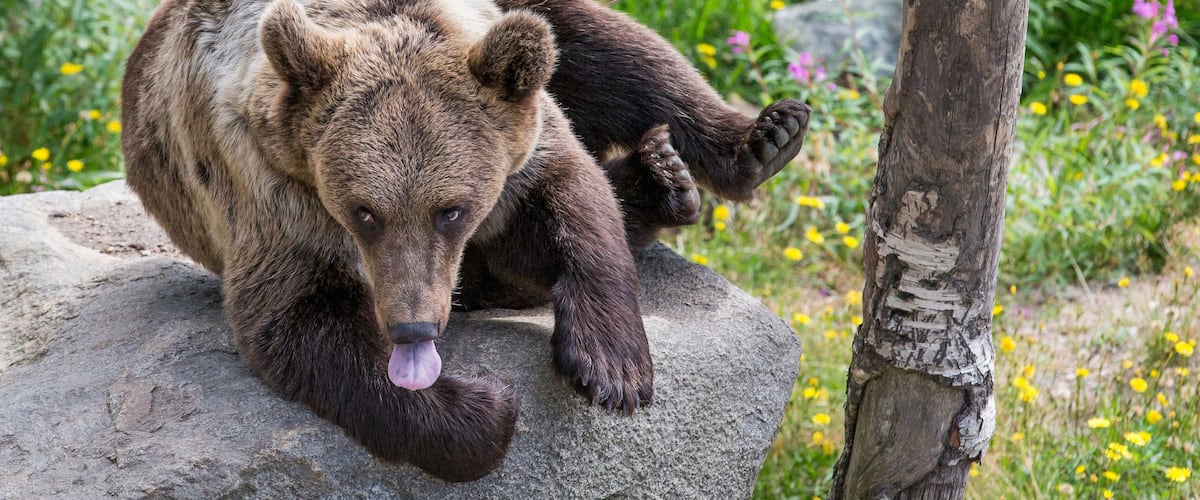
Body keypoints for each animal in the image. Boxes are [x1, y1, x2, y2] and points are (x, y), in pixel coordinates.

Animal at [121, 0, 809, 483]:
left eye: (449, 210)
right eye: (364, 213)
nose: (413, 327)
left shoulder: (516, 137)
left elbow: (572, 198)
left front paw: (611, 366)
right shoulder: (270, 192)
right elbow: (297, 321)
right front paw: (487, 408)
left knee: (611, 49)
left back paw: (750, 143)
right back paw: (659, 177)